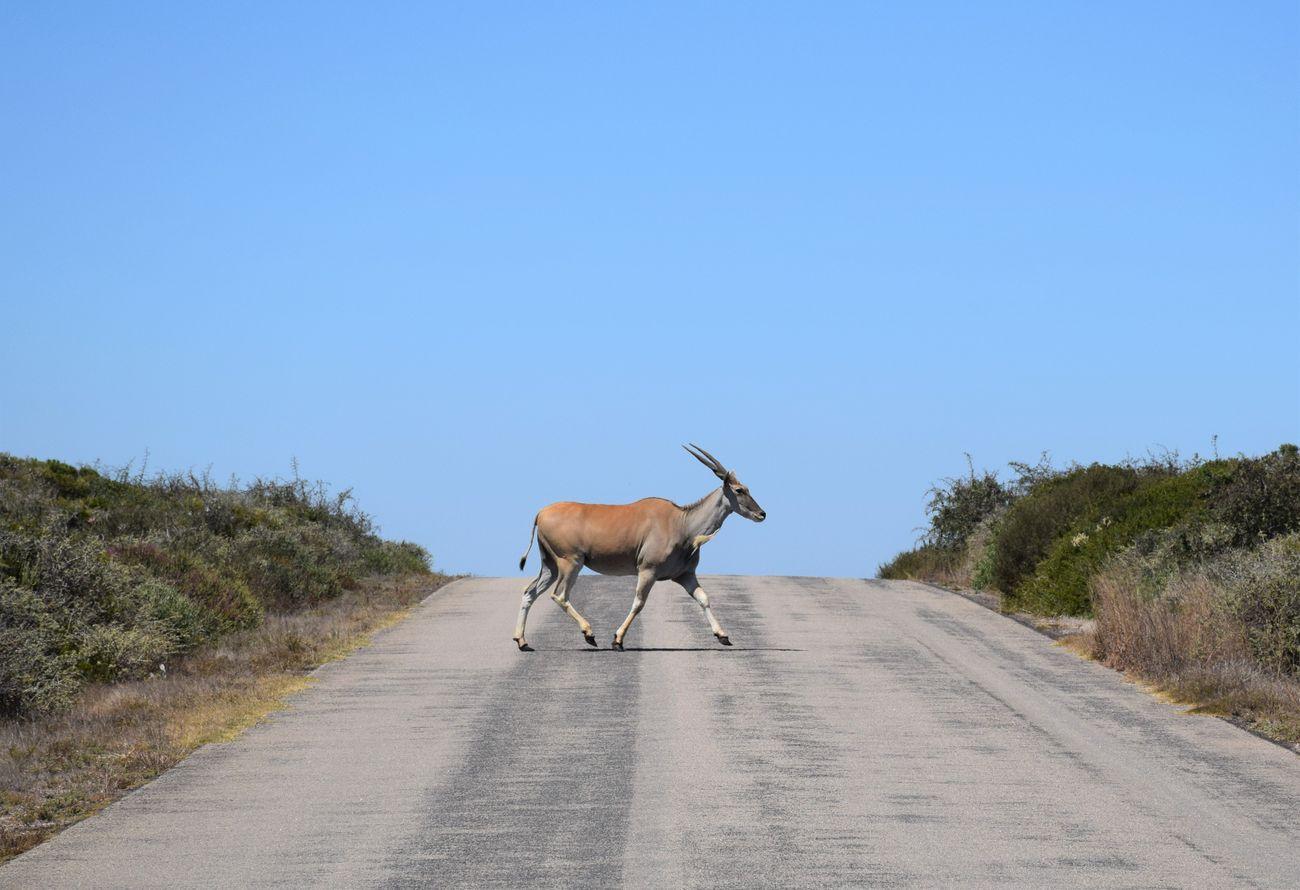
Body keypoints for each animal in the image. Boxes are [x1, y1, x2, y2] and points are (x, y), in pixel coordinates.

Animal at [512, 441, 764, 644]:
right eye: (739, 490)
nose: (762, 514)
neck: (682, 524)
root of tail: (541, 513)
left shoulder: (685, 575)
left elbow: (704, 598)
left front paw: (722, 635)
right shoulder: (647, 571)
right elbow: (639, 603)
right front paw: (617, 639)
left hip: (550, 565)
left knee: (529, 592)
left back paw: (522, 641)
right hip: (571, 562)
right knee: (560, 595)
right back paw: (589, 633)